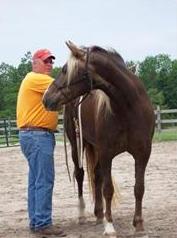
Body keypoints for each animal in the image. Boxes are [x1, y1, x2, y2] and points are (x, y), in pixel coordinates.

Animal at [42, 41, 155, 236]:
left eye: (65, 70)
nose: (46, 98)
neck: (128, 109)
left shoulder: (143, 153)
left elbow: (139, 188)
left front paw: (139, 225)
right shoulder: (106, 154)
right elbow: (108, 189)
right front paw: (109, 227)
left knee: (96, 176)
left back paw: (99, 214)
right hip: (77, 146)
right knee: (80, 175)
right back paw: (83, 215)